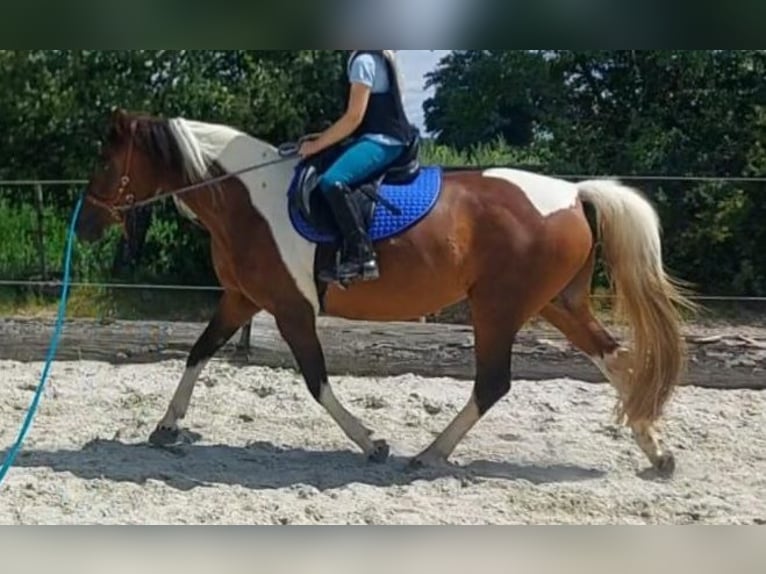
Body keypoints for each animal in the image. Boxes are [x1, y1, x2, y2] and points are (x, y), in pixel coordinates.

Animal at [76, 109, 694, 476]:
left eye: (105, 159)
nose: (84, 226)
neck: (249, 198)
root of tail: (573, 194)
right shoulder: (241, 299)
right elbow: (198, 353)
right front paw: (165, 427)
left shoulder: (290, 309)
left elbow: (316, 380)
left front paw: (372, 443)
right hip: (554, 303)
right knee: (613, 358)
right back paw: (657, 451)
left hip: (498, 307)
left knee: (495, 382)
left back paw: (429, 454)